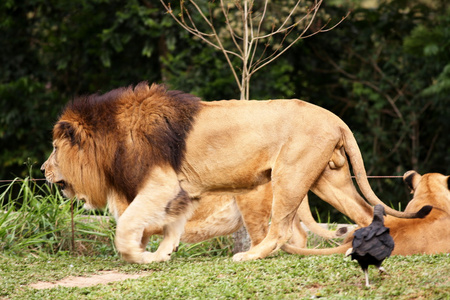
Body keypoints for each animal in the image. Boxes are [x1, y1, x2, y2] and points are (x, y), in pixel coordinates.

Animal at [41, 82, 428, 262]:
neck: (112, 138)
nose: (43, 170)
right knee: (364, 213)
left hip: (288, 177)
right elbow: (169, 227)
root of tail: (335, 118)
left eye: (55, 149)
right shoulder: (180, 192)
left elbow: (125, 228)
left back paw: (250, 256)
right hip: (327, 180)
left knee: (280, 231)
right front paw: (162, 254)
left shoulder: (161, 184)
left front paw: (139, 256)